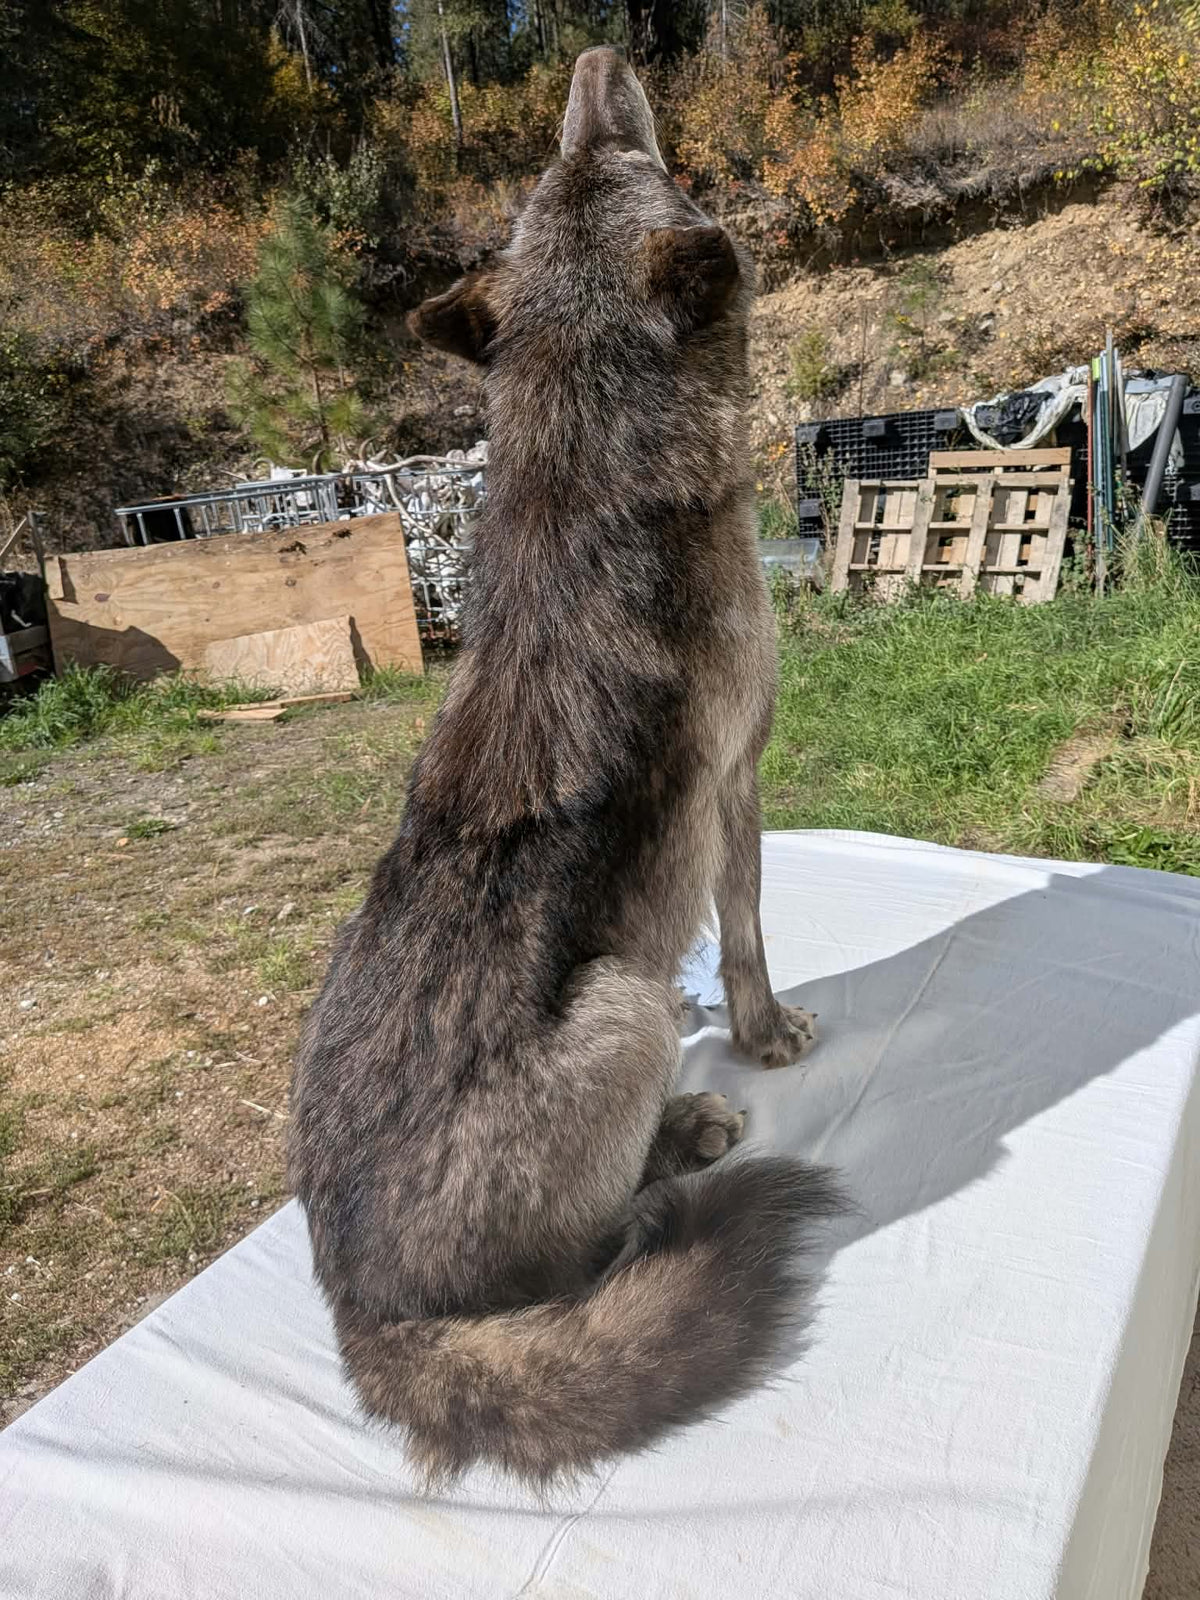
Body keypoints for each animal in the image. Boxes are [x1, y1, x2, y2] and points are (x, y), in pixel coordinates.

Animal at [288, 45, 843, 1488]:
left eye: (561, 177)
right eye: (627, 162)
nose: (594, 60)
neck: (592, 464)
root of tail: (357, 1313)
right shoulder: (740, 789)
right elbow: (748, 937)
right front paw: (763, 1037)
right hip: (619, 1009)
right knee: (603, 1249)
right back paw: (683, 1138)